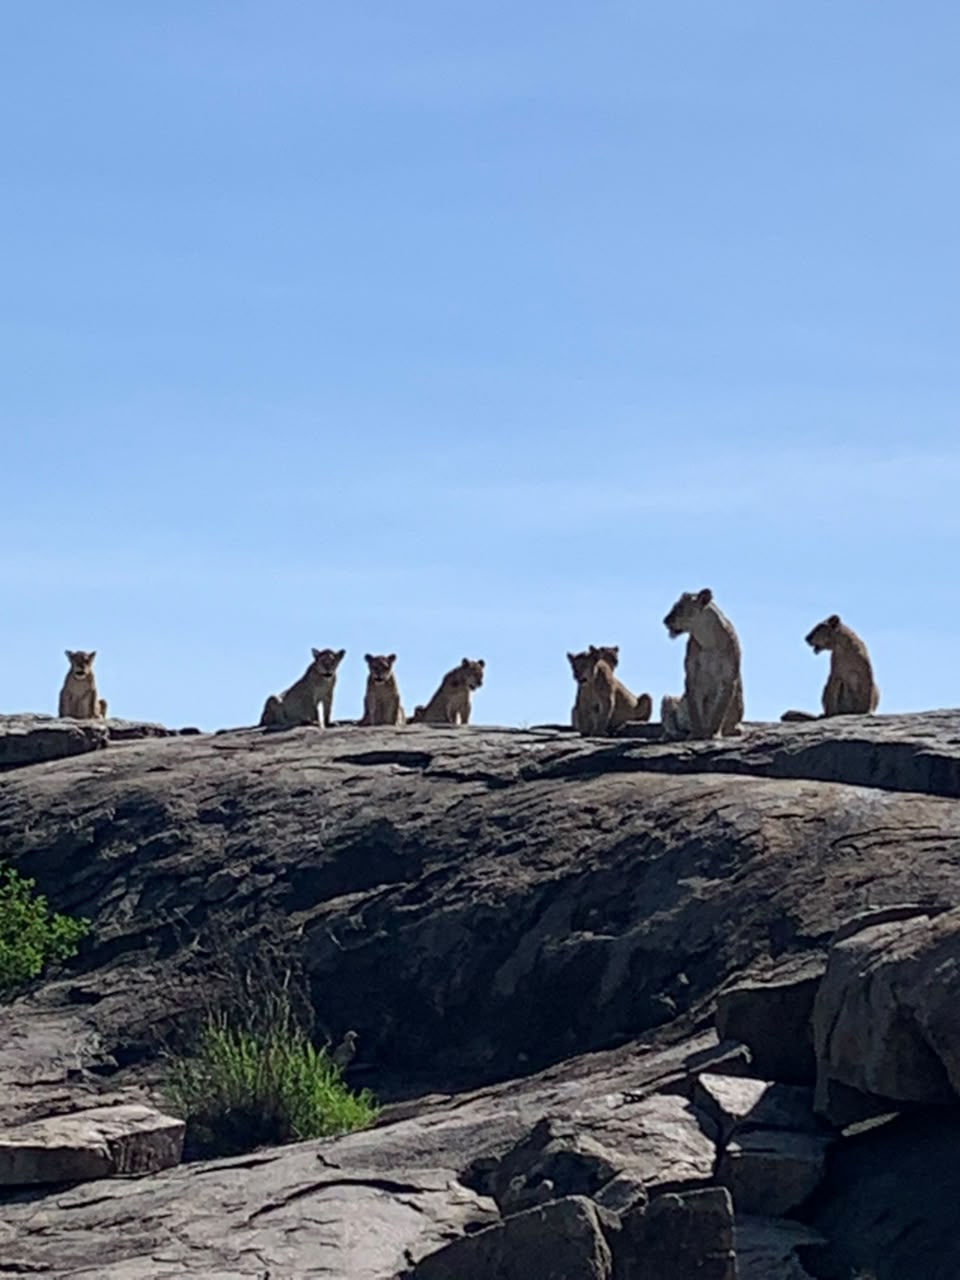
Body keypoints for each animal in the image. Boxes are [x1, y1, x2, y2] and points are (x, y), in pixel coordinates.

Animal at [660, 589, 743, 740]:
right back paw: (674, 735)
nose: (665, 620)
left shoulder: (729, 678)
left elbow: (719, 709)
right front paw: (696, 734)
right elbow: (694, 708)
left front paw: (713, 733)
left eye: (679, 607)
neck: (708, 639)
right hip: (668, 698)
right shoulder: (691, 676)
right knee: (670, 725)